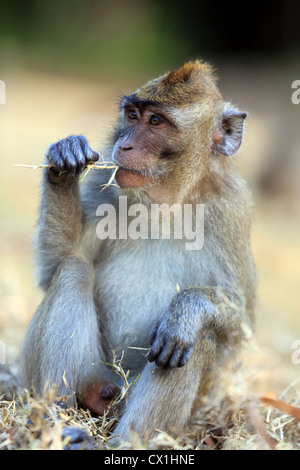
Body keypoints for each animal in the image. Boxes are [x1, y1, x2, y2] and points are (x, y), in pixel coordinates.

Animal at [18, 60, 255, 442]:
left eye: (156, 121)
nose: (124, 145)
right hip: (96, 376)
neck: (166, 202)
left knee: (197, 339)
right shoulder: (105, 180)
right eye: (132, 115)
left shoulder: (233, 210)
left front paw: (188, 309)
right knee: (73, 269)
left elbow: (241, 325)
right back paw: (55, 420)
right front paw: (63, 160)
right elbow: (54, 267)